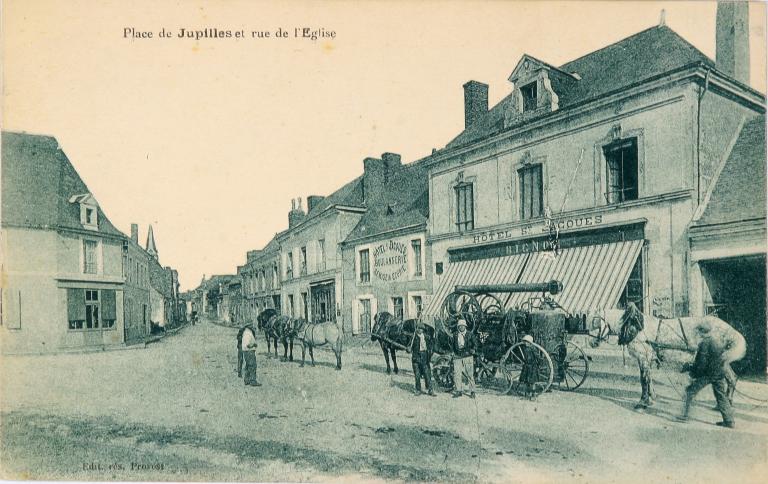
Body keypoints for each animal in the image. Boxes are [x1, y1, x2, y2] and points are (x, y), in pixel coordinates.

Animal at [596, 302, 748, 408]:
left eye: (595, 321)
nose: (593, 343)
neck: (636, 327)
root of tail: (730, 329)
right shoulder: (648, 359)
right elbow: (649, 379)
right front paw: (652, 398)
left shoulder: (643, 357)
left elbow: (643, 380)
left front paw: (642, 402)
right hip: (722, 359)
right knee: (732, 378)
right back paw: (724, 404)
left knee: (731, 378)